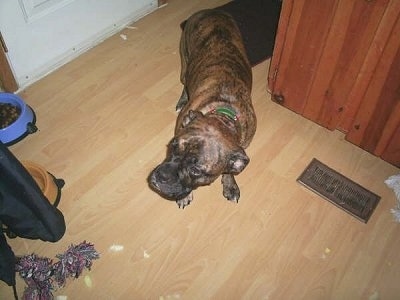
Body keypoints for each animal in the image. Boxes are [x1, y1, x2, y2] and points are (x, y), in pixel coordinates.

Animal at [148, 8, 256, 207]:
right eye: (173, 146)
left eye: (196, 170)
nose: (162, 176)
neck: (223, 116)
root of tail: (212, 11)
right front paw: (185, 196)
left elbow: (229, 170)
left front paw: (230, 185)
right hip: (185, 65)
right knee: (184, 82)